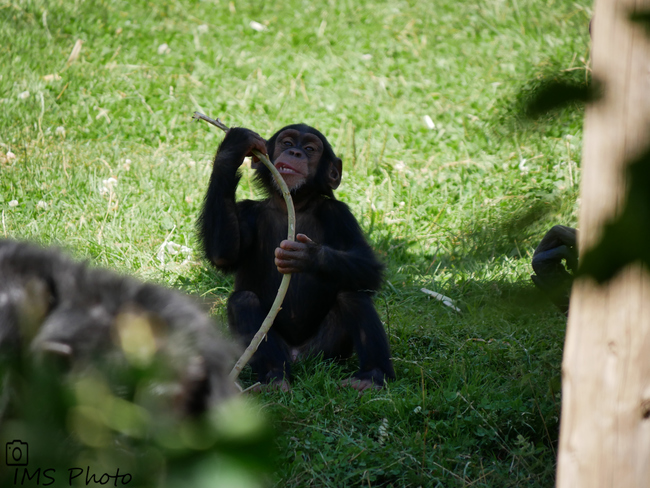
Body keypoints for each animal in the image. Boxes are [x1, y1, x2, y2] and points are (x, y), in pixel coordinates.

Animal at [195, 125, 392, 392]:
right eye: (286, 143)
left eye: (310, 148)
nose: (295, 152)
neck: (295, 205)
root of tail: (298, 357)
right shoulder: (247, 212)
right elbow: (224, 254)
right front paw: (232, 149)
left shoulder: (340, 214)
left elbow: (368, 265)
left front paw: (307, 256)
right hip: (278, 352)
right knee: (243, 301)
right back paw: (275, 377)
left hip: (325, 354)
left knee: (352, 295)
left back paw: (371, 376)